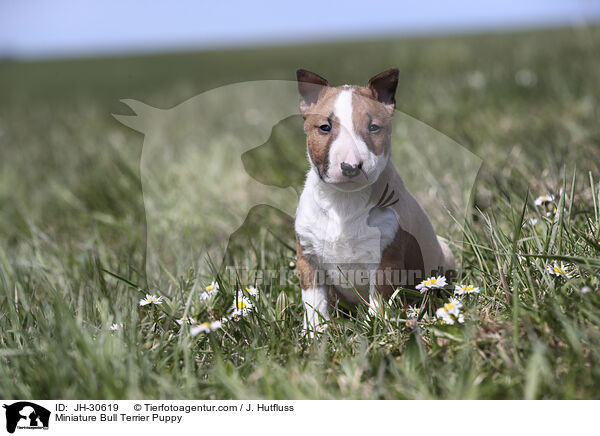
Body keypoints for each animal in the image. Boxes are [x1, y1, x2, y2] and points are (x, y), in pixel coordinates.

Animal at [294, 68, 454, 336]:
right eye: (324, 127)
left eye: (373, 127)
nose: (350, 166)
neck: (344, 200)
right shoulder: (308, 256)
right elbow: (313, 299)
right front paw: (315, 332)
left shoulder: (386, 255)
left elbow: (378, 295)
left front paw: (375, 327)